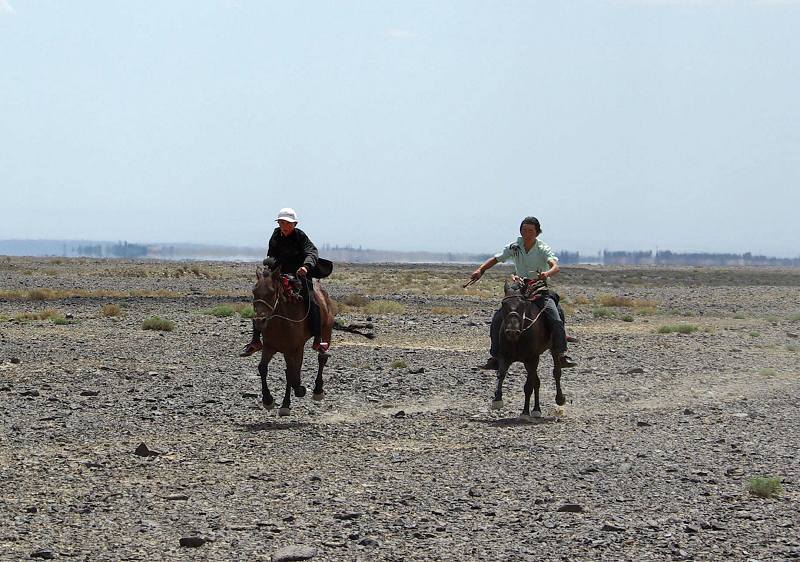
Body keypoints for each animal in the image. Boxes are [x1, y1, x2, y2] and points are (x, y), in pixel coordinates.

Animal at [252, 260, 336, 414]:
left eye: (272, 292)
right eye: (254, 291)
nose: (259, 321)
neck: (281, 323)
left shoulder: (294, 349)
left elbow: (292, 374)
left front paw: (293, 396)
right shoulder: (270, 347)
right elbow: (263, 368)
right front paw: (268, 400)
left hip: (326, 332)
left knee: (322, 357)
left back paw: (317, 390)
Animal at [490, 278, 564, 418]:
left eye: (522, 305)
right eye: (503, 303)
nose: (512, 332)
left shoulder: (532, 358)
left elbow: (528, 386)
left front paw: (524, 412)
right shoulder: (504, 355)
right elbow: (501, 374)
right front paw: (497, 399)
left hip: (553, 350)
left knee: (556, 373)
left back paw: (559, 398)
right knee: (537, 381)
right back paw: (536, 409)